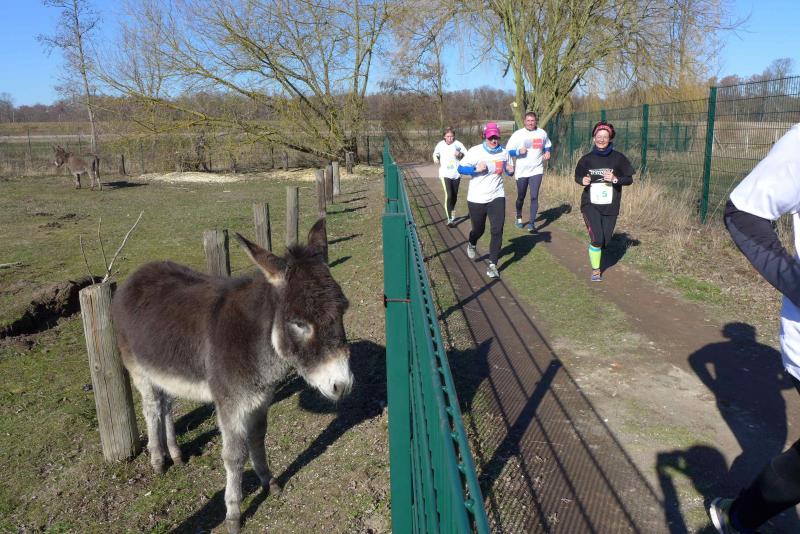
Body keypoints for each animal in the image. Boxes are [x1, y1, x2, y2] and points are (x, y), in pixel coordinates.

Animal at [111, 219, 352, 533]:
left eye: (343, 308)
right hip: (139, 369)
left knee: (166, 406)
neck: (256, 339)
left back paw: (175, 453)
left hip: (166, 370)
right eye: (299, 323)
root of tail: (138, 273)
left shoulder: (261, 397)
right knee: (151, 407)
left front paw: (269, 481)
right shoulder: (230, 403)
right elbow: (234, 456)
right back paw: (158, 460)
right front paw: (234, 513)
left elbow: (258, 438)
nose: (342, 385)